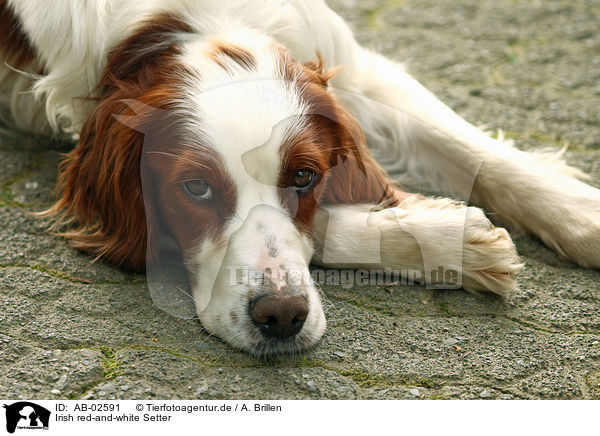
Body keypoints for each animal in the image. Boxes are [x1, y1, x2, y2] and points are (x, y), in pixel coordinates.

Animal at [1, 0, 600, 356]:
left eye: (305, 176)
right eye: (196, 188)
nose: (282, 316)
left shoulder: (355, 71)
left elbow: (472, 148)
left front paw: (580, 213)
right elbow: (327, 230)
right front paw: (450, 239)